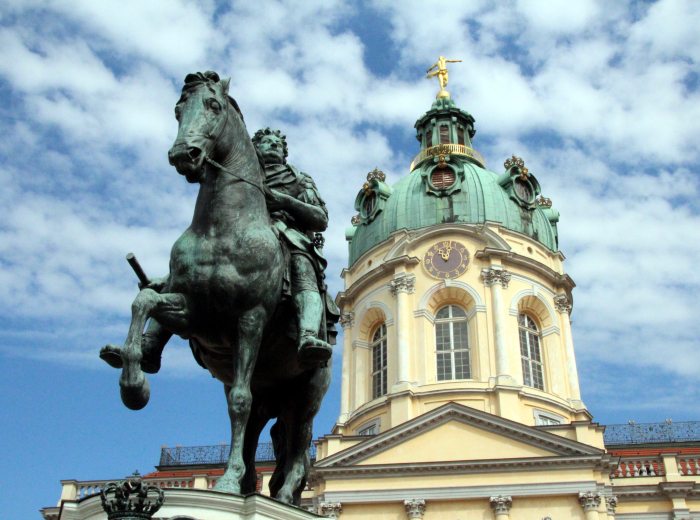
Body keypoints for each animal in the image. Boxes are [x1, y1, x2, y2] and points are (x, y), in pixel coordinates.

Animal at [110, 72, 332, 504]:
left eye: (212, 106)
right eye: (177, 108)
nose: (184, 154)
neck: (223, 226)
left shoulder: (250, 319)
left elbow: (238, 402)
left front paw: (227, 483)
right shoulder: (194, 313)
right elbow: (144, 300)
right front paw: (134, 383)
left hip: (308, 391)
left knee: (297, 445)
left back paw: (282, 495)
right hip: (270, 393)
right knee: (257, 432)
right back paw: (251, 486)